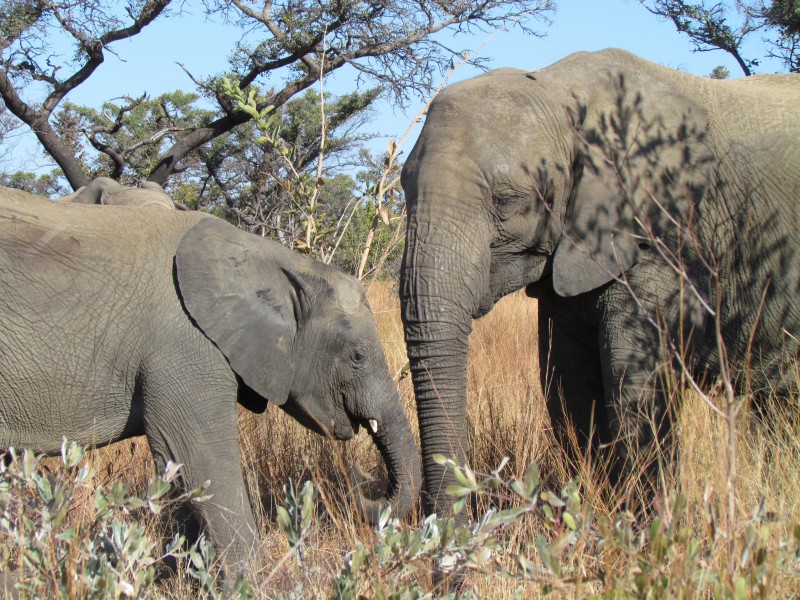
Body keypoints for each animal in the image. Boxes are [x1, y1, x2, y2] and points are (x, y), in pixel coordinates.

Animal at [0, 185, 422, 576]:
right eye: (357, 356)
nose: (358, 476)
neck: (266, 256)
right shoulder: (184, 345)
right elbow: (201, 462)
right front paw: (250, 583)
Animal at [404, 48, 796, 516]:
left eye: (507, 201)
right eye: (403, 187)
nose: (443, 523)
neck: (558, 87)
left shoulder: (665, 234)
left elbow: (633, 387)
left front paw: (643, 525)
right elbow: (568, 383)